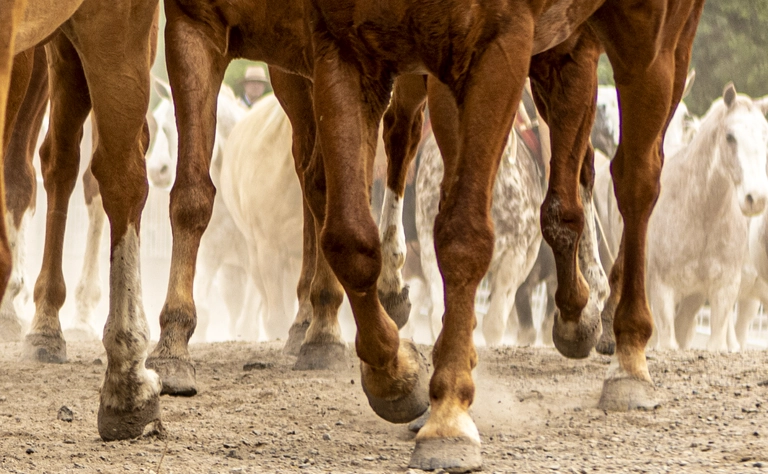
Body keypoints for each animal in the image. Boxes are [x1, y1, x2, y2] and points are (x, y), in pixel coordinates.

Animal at [648, 84, 768, 352]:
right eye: (730, 137)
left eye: (765, 137)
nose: (755, 198)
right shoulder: (661, 291)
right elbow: (667, 343)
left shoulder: (723, 292)